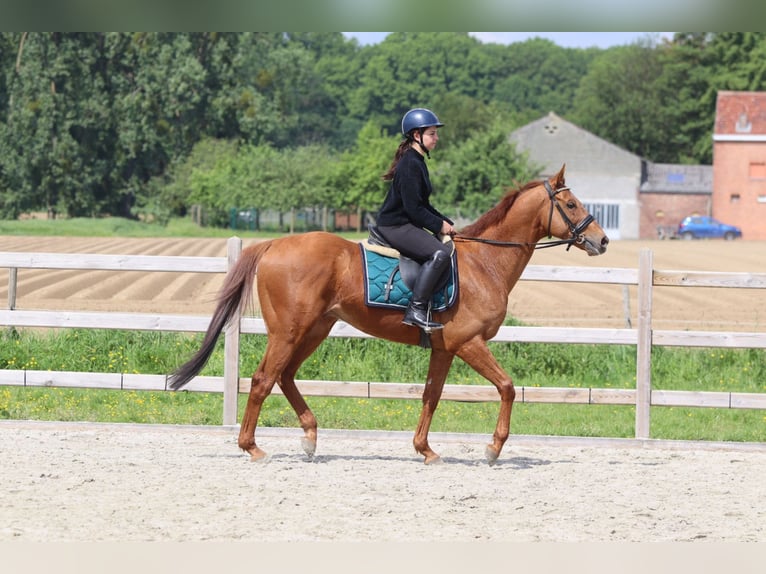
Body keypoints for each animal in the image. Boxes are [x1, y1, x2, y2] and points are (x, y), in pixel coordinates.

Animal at [168, 164, 609, 464]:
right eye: (571, 204)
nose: (601, 240)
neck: (484, 262)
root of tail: (274, 244)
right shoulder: (469, 343)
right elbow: (507, 387)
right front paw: (493, 448)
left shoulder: (445, 348)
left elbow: (432, 396)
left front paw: (425, 450)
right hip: (288, 331)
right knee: (263, 380)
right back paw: (253, 448)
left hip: (315, 329)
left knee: (285, 376)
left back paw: (310, 437)